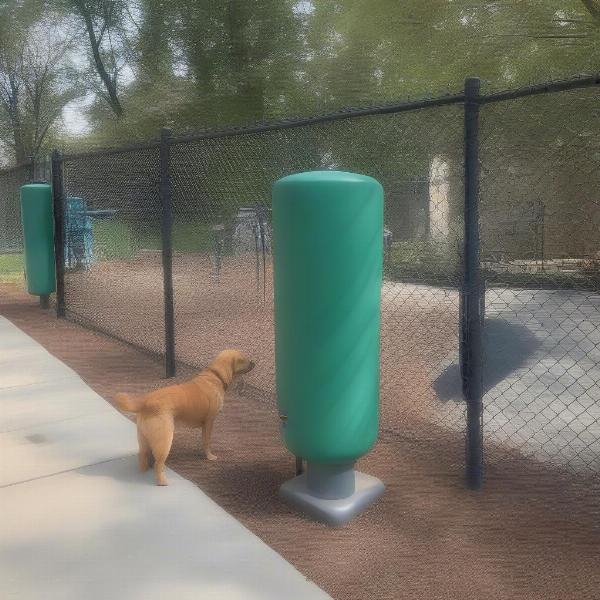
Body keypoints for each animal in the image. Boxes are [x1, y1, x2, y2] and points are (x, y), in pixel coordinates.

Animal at [114, 352, 253, 482]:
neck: (216, 375)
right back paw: (163, 481)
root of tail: (145, 402)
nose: (254, 362)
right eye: (244, 359)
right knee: (159, 463)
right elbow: (207, 442)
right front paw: (209, 456)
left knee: (143, 457)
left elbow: (203, 441)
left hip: (144, 438)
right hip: (165, 439)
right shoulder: (209, 422)